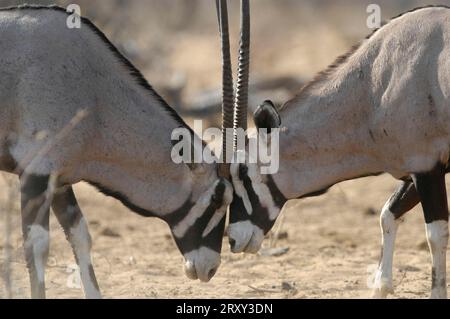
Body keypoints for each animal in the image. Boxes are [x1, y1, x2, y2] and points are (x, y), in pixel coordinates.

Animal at [0, 5, 239, 300]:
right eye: (218, 197)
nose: (210, 269)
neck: (95, 93)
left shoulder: (59, 179)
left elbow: (81, 235)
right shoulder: (36, 171)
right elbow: (38, 245)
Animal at [229, 5, 450, 300]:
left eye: (243, 172)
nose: (233, 239)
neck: (375, 84)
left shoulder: (427, 168)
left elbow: (436, 235)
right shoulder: (416, 170)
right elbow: (388, 214)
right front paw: (381, 286)